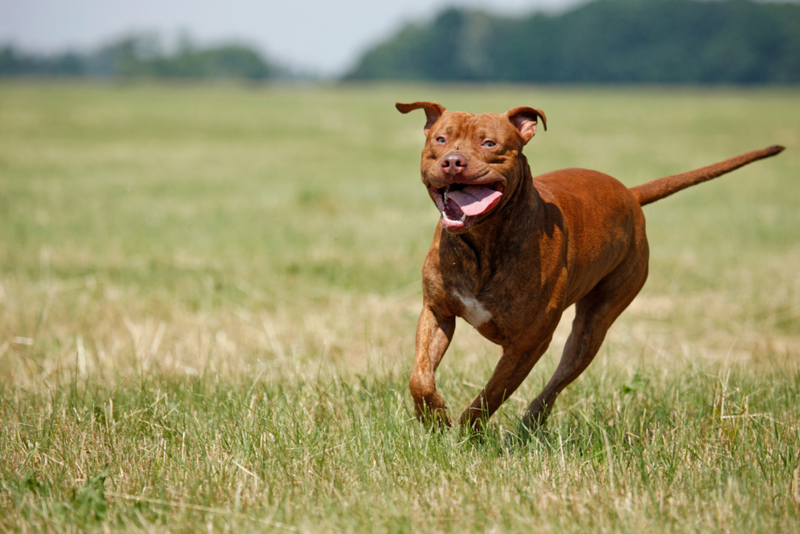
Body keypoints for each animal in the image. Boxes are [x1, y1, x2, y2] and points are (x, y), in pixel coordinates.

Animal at [396, 102, 784, 434]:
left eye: (490, 143)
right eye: (440, 139)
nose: (453, 162)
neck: (483, 241)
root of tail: (630, 193)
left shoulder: (528, 344)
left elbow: (493, 392)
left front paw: (468, 430)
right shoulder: (437, 311)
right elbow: (420, 376)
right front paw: (433, 417)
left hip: (593, 326)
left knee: (558, 379)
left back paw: (529, 423)